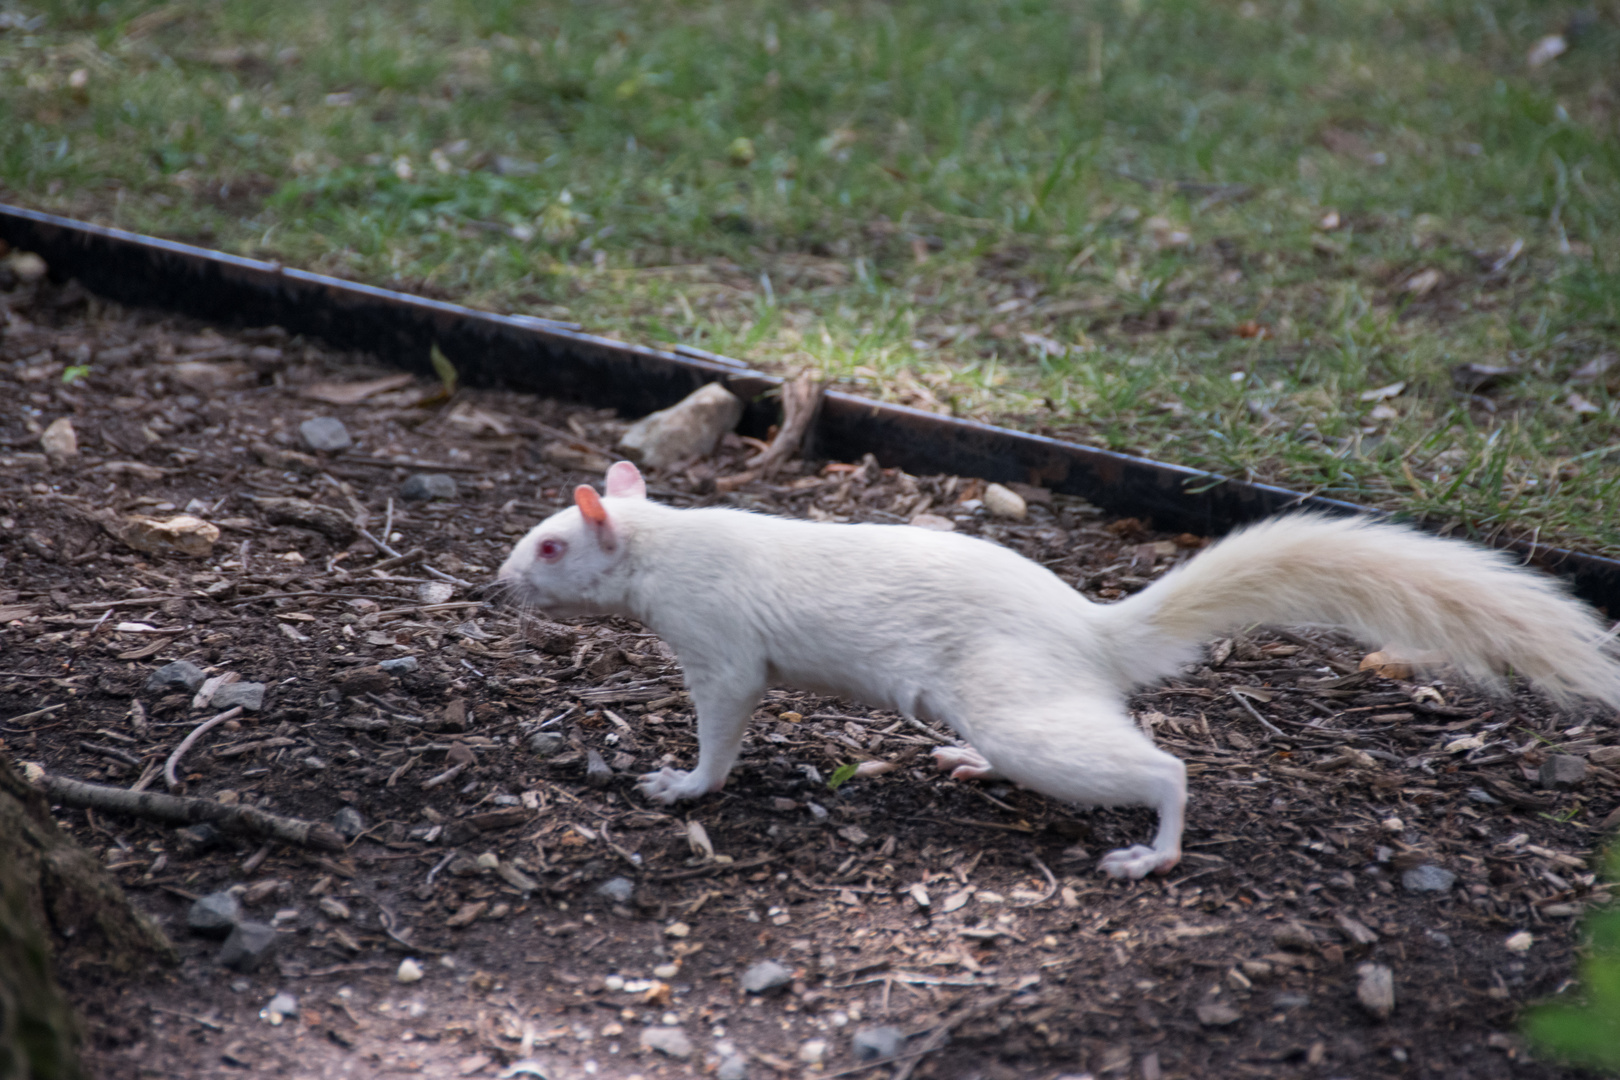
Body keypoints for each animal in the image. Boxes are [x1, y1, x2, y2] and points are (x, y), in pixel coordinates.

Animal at [495, 463, 1620, 880]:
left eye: (551, 543)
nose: (500, 580)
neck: (663, 545)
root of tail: (1090, 633)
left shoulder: (718, 640)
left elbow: (725, 720)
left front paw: (681, 784)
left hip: (1029, 711)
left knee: (1162, 769)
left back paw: (1150, 853)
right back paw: (970, 766)